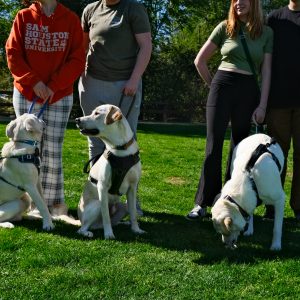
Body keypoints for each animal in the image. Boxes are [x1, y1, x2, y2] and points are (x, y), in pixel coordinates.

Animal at [75, 104, 145, 240]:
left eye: (97, 113)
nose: (77, 119)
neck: (120, 149)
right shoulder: (102, 187)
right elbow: (106, 215)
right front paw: (108, 234)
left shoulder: (133, 187)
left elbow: (133, 213)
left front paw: (136, 229)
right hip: (96, 204)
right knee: (83, 228)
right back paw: (88, 232)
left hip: (123, 206)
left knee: (117, 219)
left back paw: (124, 223)